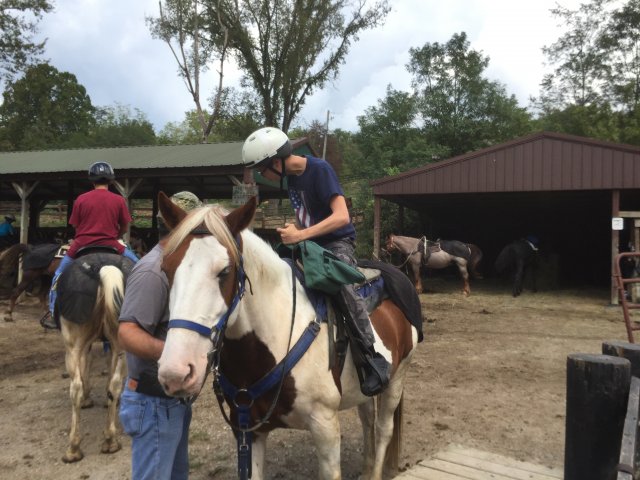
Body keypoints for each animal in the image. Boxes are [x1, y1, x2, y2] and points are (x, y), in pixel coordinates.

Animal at [55, 251, 134, 462]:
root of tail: (102, 267)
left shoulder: (83, 345)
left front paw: (87, 398)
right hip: (121, 344)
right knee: (115, 385)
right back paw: (110, 441)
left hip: (72, 344)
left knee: (75, 388)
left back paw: (73, 449)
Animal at [158, 194, 422, 480]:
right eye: (166, 268)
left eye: (225, 271)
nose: (176, 372)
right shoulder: (247, 429)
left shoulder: (325, 426)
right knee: (368, 420)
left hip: (398, 376)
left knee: (384, 428)